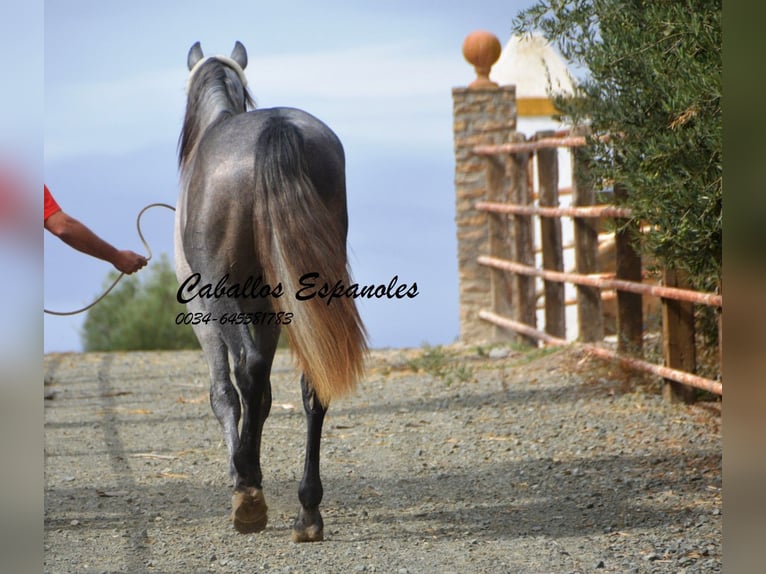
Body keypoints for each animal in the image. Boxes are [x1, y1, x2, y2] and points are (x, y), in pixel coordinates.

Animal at [176, 41, 368, 544]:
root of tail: (278, 130)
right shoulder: (266, 311)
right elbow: (260, 399)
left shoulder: (205, 315)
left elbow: (226, 393)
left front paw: (241, 475)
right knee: (310, 382)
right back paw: (308, 512)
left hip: (223, 297)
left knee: (247, 371)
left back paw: (247, 491)